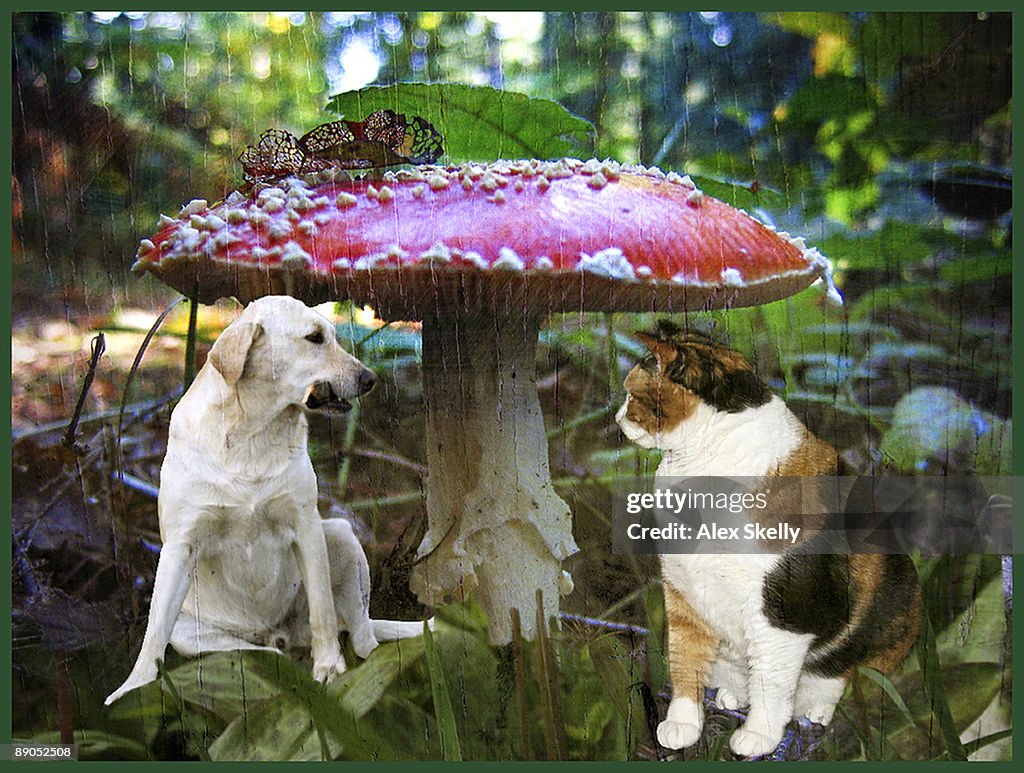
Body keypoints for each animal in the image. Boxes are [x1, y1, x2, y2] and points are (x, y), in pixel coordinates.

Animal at [110, 296, 430, 708]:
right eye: (315, 338)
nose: (370, 380)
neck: (252, 431)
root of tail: (280, 634)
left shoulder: (307, 527)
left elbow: (323, 611)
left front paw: (329, 668)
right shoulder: (180, 545)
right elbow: (152, 634)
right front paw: (136, 687)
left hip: (339, 535)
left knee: (363, 641)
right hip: (193, 634)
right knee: (257, 653)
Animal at [614, 323, 921, 757]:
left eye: (631, 393)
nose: (617, 418)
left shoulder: (781, 617)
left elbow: (770, 684)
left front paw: (758, 736)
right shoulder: (682, 593)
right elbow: (685, 659)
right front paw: (682, 724)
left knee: (837, 682)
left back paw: (815, 712)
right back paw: (731, 694)